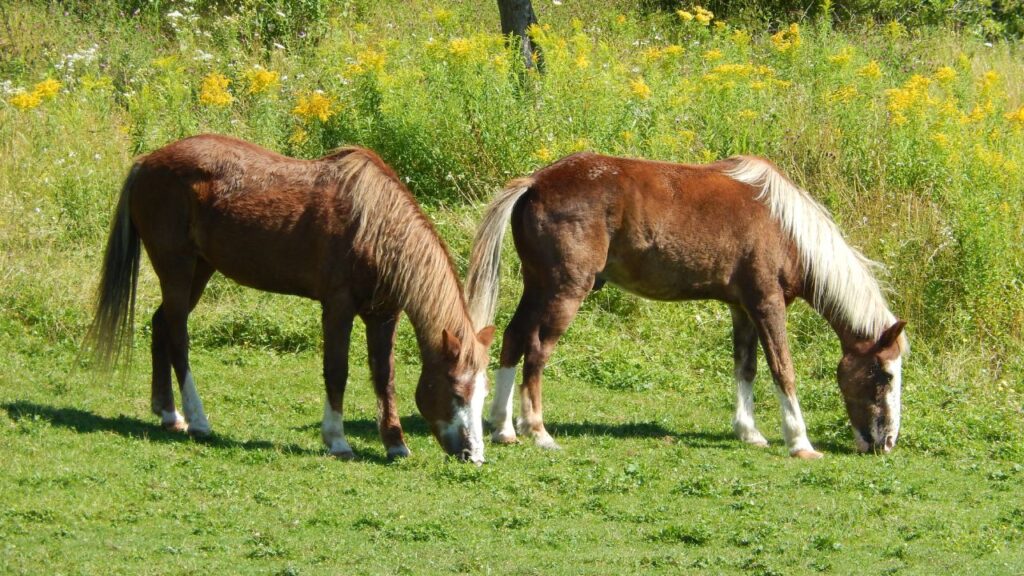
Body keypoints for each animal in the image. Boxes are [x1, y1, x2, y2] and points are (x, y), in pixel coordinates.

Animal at [87, 134, 495, 463]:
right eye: (456, 392)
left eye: (482, 394)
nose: (474, 455)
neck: (375, 228)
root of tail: (147, 161)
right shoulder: (338, 307)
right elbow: (337, 370)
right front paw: (337, 440)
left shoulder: (383, 315)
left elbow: (384, 377)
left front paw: (395, 444)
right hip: (177, 267)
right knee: (177, 336)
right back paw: (198, 420)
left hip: (200, 270)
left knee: (160, 325)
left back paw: (168, 413)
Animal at [465, 152, 908, 458]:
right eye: (885, 375)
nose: (886, 442)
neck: (785, 227)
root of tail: (536, 182)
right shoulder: (768, 304)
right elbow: (783, 370)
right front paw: (800, 442)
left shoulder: (742, 309)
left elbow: (745, 368)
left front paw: (749, 432)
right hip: (565, 291)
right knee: (537, 349)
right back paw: (537, 430)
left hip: (538, 286)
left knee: (513, 338)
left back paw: (503, 427)